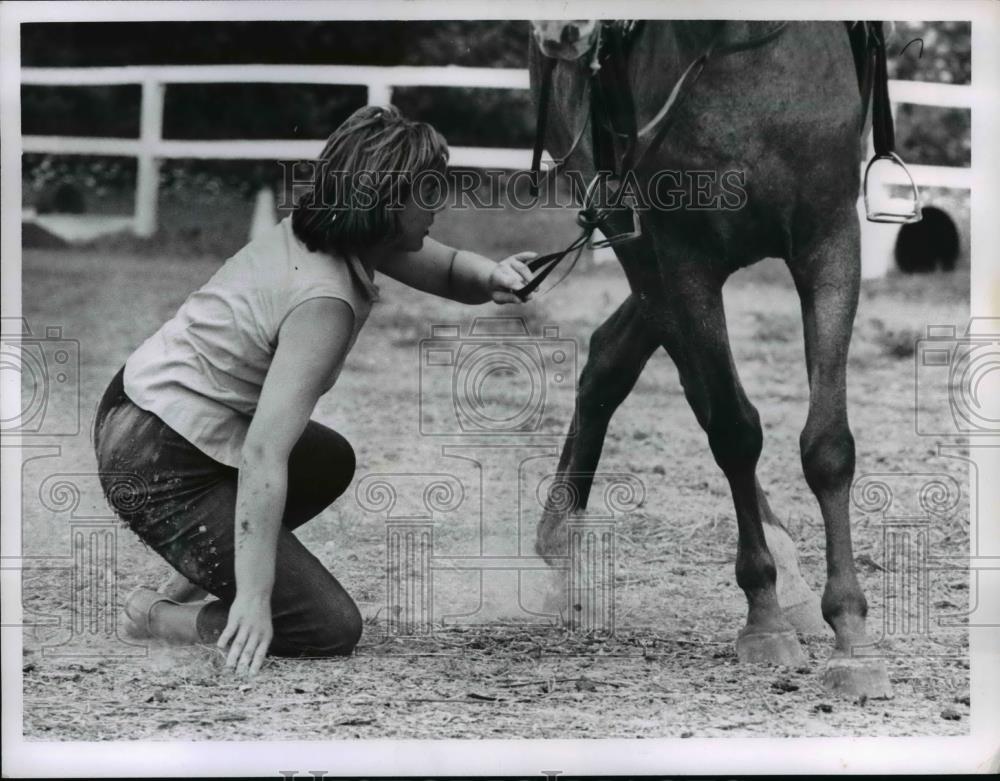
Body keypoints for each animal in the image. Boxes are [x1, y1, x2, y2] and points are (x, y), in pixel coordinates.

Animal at [532, 19, 892, 696]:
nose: (561, 30)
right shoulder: (683, 259)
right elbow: (732, 430)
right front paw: (765, 619)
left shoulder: (831, 245)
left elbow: (828, 445)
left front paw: (851, 635)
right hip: (637, 247)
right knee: (685, 387)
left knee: (612, 355)